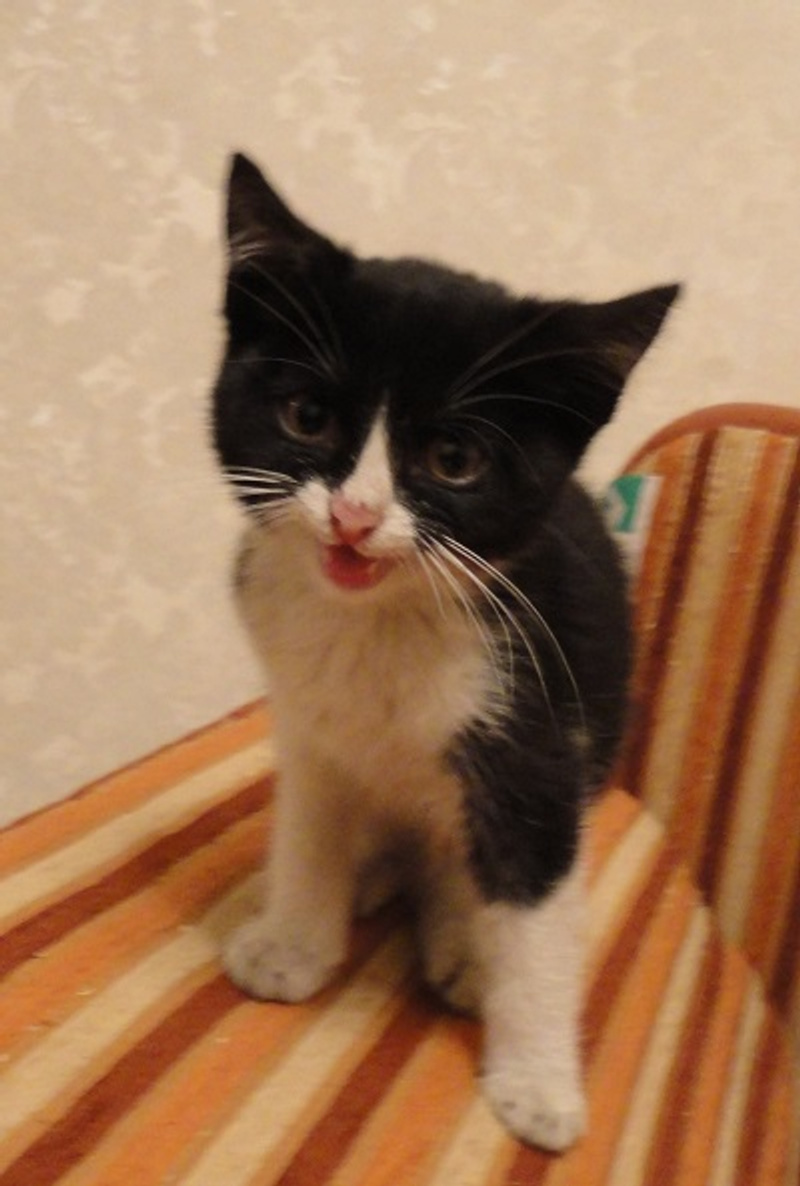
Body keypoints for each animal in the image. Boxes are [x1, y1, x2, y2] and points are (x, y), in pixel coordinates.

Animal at [211, 152, 679, 1152]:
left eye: (454, 459)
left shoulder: (542, 738)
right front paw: (295, 939)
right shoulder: (306, 722)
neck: (381, 619)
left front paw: (538, 1082)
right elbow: (308, 825)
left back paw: (466, 945)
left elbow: (538, 918)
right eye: (308, 415)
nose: (354, 515)